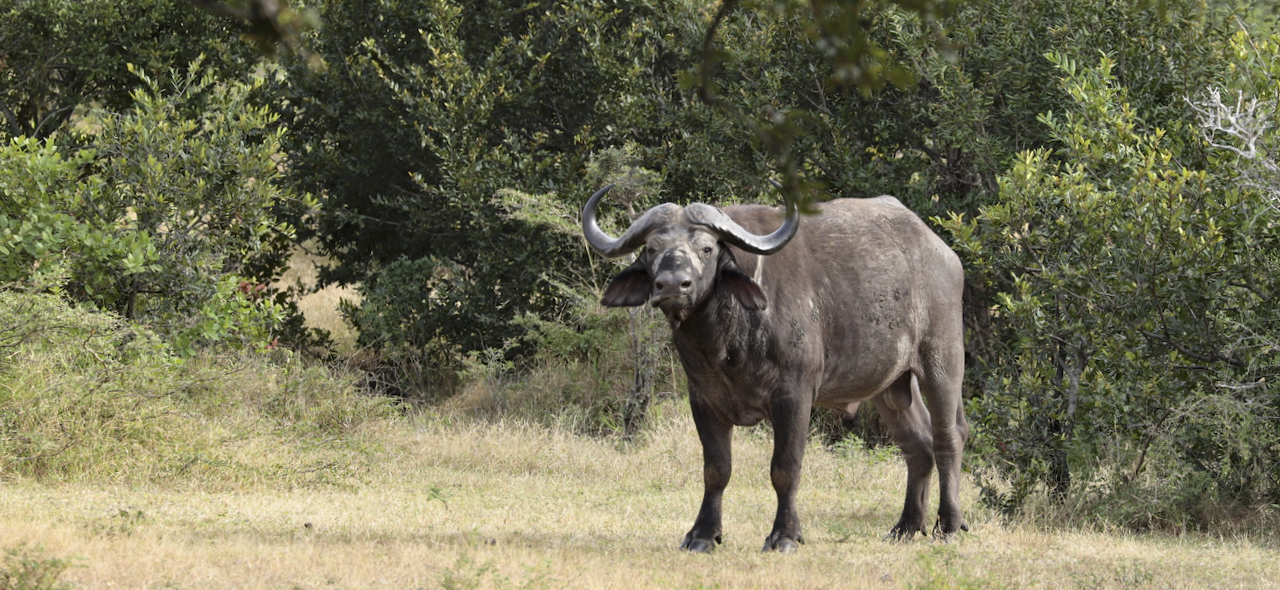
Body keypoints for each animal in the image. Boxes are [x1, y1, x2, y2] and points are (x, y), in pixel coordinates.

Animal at [583, 181, 967, 550]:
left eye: (706, 249)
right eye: (652, 249)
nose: (674, 285)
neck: (724, 339)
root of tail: (944, 254)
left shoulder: (794, 397)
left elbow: (785, 469)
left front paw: (784, 535)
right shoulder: (703, 399)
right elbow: (716, 470)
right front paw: (704, 534)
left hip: (942, 361)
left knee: (948, 437)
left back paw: (948, 525)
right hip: (891, 385)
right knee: (918, 446)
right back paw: (906, 527)